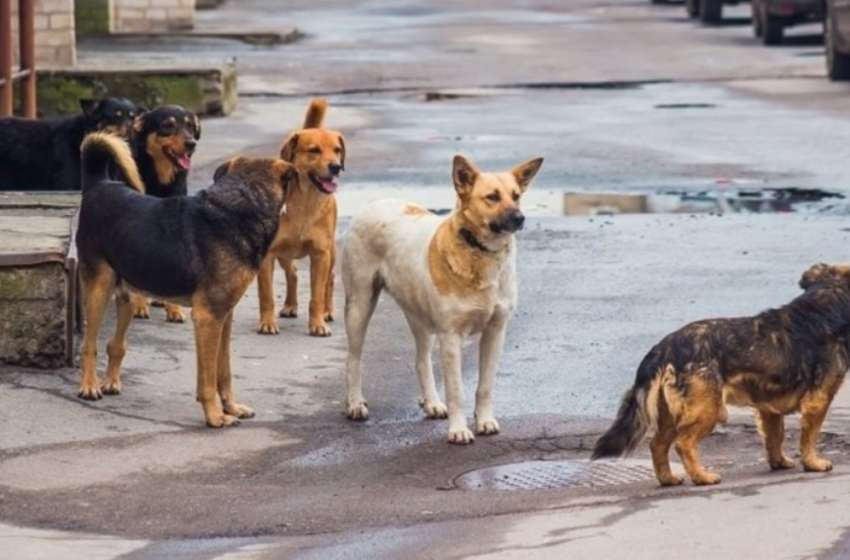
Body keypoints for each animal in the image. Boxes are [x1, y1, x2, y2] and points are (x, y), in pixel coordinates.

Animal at [255, 97, 344, 336]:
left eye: (337, 150)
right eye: (314, 150)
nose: (336, 167)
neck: (305, 203)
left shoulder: (320, 254)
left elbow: (316, 296)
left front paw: (318, 324)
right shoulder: (267, 255)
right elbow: (266, 295)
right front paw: (267, 322)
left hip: (331, 253)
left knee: (330, 280)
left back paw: (327, 311)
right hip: (284, 254)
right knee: (293, 273)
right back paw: (290, 305)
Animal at [342, 155, 540, 444]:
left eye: (516, 196)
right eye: (492, 197)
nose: (520, 218)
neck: (479, 252)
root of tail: (373, 203)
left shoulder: (495, 332)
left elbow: (485, 386)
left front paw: (484, 420)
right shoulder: (451, 337)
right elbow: (456, 391)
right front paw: (458, 430)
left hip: (419, 318)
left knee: (421, 361)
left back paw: (432, 403)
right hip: (359, 305)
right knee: (354, 359)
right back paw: (355, 404)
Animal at [588, 262, 848, 486]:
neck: (826, 303)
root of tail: (665, 347)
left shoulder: (769, 408)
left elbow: (775, 438)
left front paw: (779, 462)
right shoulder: (818, 401)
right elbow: (809, 437)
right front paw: (812, 463)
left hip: (672, 413)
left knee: (657, 445)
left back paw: (668, 479)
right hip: (708, 409)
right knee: (683, 443)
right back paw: (702, 477)